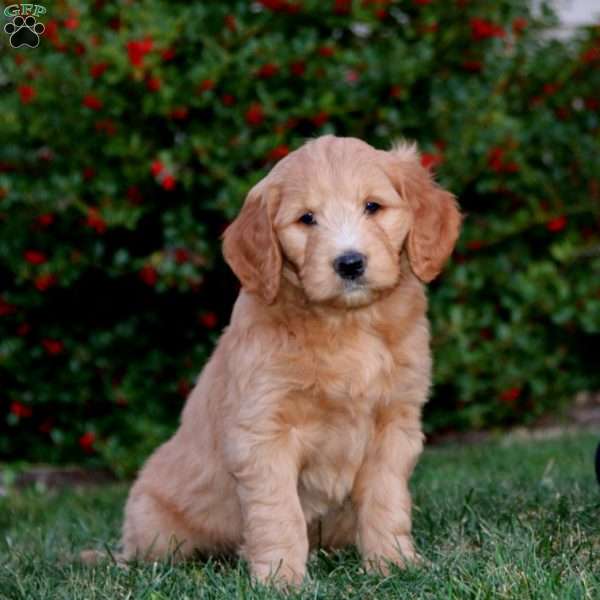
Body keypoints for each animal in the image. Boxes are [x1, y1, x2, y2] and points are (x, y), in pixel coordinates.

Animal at [119, 134, 462, 584]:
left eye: (372, 206)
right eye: (306, 219)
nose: (350, 263)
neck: (346, 323)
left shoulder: (395, 423)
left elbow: (386, 501)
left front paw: (393, 563)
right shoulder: (263, 432)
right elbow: (277, 512)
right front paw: (280, 578)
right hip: (154, 523)